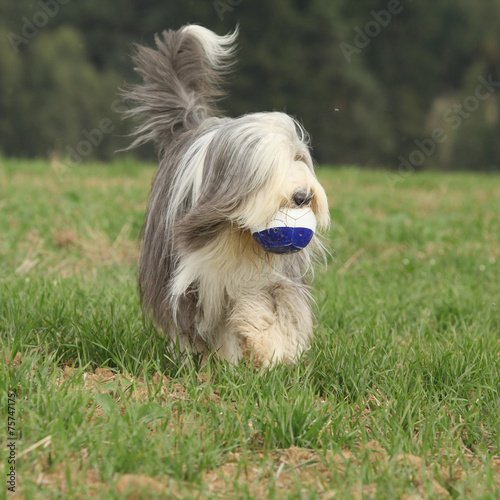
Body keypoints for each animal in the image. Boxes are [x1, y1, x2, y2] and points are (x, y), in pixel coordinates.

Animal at [123, 24, 330, 368]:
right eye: (269, 167)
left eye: (299, 158)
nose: (302, 196)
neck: (238, 234)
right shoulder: (196, 276)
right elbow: (206, 320)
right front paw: (223, 359)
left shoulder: (277, 273)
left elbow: (276, 304)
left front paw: (272, 349)